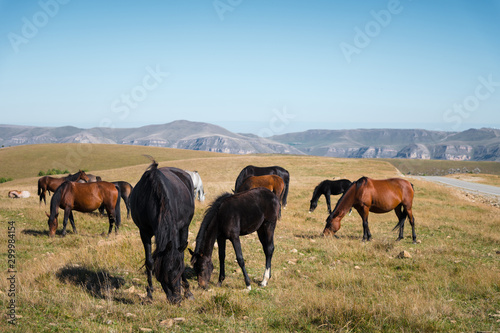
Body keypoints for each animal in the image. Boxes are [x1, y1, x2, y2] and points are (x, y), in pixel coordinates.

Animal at [129, 160, 195, 302]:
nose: (177, 299)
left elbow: (181, 257)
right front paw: (149, 294)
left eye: (180, 270)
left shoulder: (179, 228)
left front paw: (187, 290)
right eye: (167, 271)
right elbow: (149, 262)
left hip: (184, 228)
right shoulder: (144, 232)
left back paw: (188, 291)